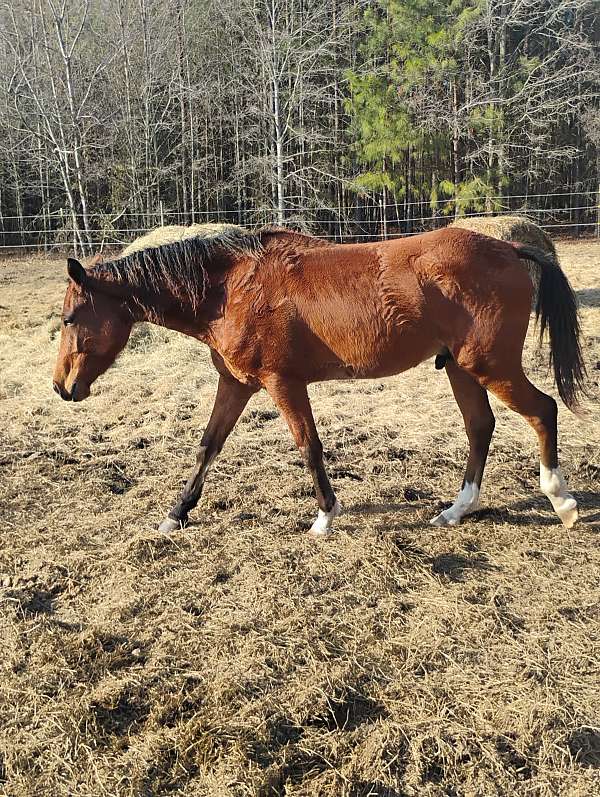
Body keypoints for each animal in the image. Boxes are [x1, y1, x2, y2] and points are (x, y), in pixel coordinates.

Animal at [52, 224, 584, 536]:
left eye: (71, 318)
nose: (61, 387)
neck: (230, 289)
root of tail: (509, 246)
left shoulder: (282, 383)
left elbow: (309, 446)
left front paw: (325, 516)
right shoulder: (237, 385)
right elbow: (208, 446)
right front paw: (175, 515)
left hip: (491, 366)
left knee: (543, 410)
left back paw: (562, 502)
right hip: (460, 368)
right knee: (480, 428)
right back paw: (456, 510)